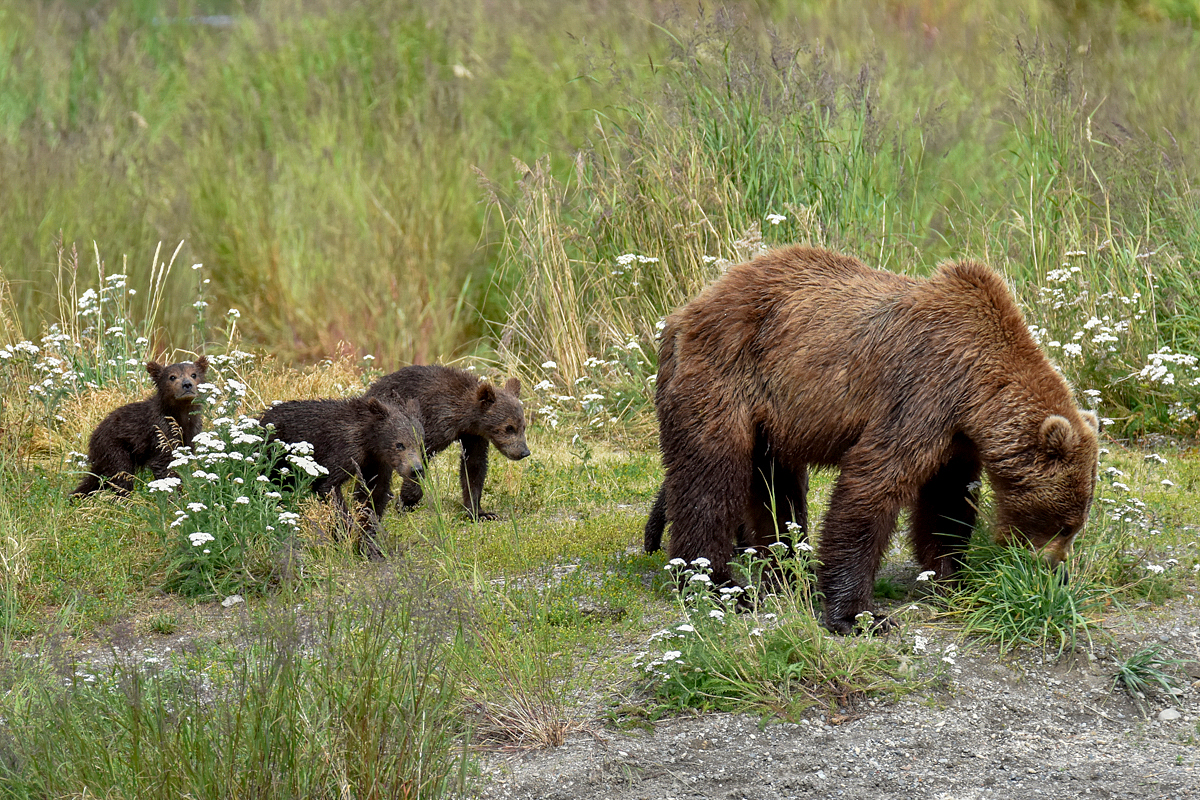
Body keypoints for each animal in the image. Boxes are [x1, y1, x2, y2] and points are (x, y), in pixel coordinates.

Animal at [652, 247, 1099, 633]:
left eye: (1075, 525)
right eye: (1064, 524)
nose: (1057, 570)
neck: (979, 392)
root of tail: (685, 311)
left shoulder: (957, 439)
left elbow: (946, 504)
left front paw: (954, 578)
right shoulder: (923, 392)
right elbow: (873, 484)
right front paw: (858, 614)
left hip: (773, 418)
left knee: (775, 487)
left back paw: (788, 570)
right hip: (726, 375)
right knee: (711, 477)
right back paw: (717, 583)